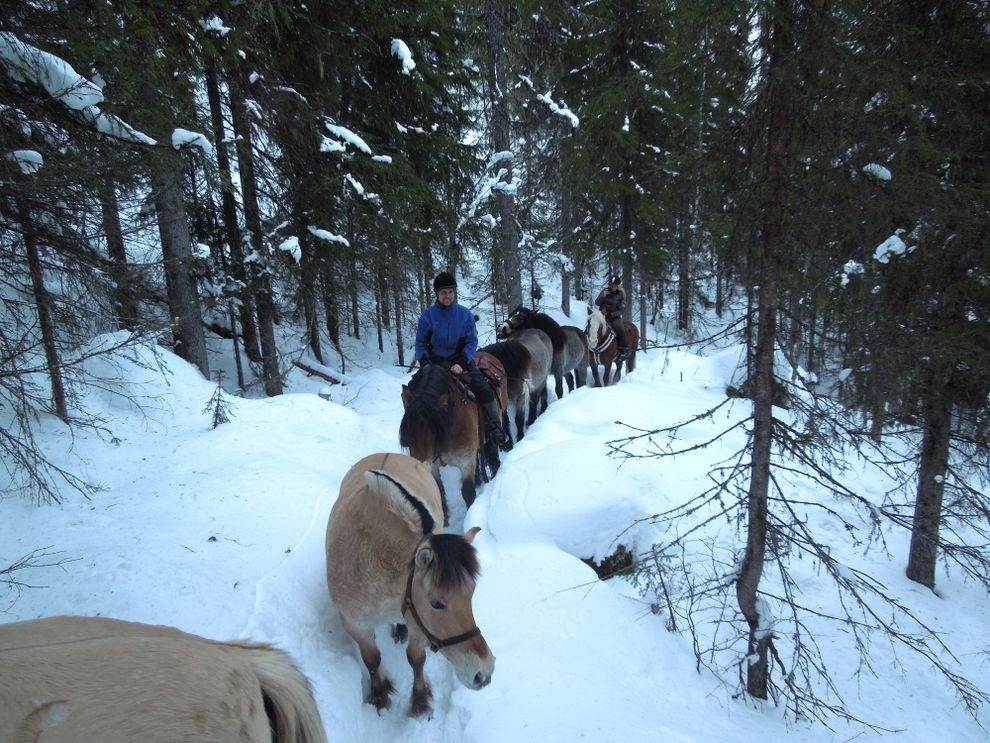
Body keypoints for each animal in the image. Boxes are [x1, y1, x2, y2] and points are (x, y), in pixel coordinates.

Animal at [326, 450, 496, 716]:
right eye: (437, 604)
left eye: (472, 594)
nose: (484, 673)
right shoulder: (354, 624)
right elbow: (371, 659)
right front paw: (379, 694)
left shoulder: (418, 624)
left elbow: (416, 659)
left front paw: (420, 700)